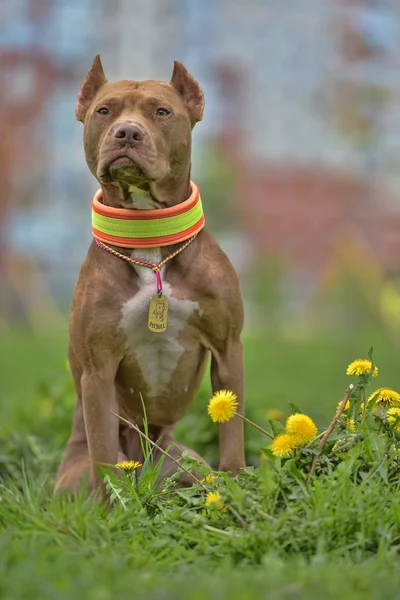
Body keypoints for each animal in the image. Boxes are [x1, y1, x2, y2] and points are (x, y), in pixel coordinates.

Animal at [54, 55, 245, 496]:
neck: (150, 243)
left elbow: (231, 432)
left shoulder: (228, 348)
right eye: (104, 111)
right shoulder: (98, 371)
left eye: (161, 111)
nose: (127, 132)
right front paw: (111, 507)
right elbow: (104, 456)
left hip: (183, 458)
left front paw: (237, 486)